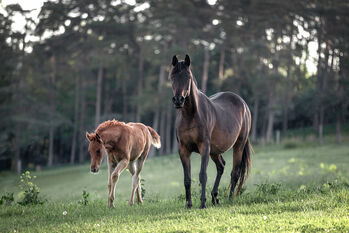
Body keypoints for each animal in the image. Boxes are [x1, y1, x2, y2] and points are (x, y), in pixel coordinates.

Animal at [169, 55, 249, 209]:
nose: (178, 100)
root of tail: (243, 104)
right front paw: (188, 204)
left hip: (238, 146)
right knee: (221, 167)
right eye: (172, 76)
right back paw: (215, 197)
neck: (190, 116)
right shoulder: (183, 150)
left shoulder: (204, 147)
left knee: (234, 173)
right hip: (215, 151)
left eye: (188, 76)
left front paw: (202, 203)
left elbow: (203, 175)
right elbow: (187, 179)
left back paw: (229, 199)